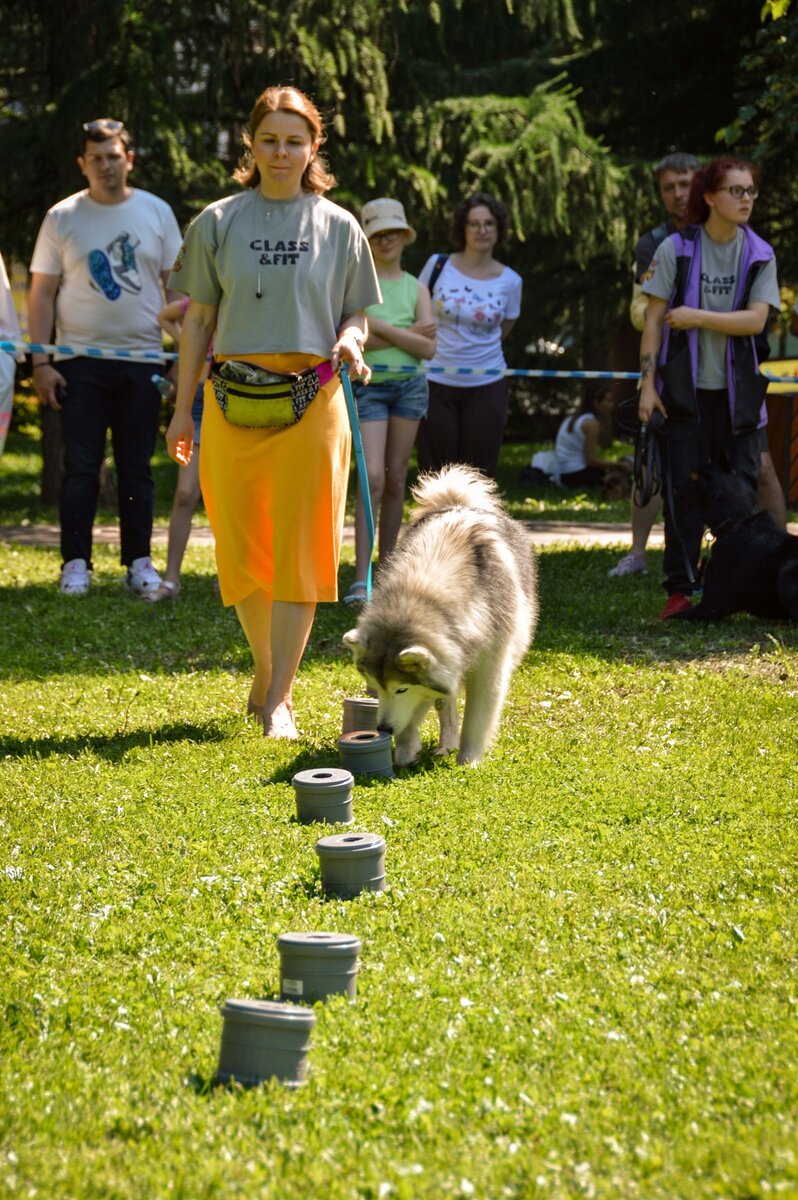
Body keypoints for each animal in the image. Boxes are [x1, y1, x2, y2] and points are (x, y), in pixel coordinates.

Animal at [343, 463, 535, 763]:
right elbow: (419, 709)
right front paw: (406, 749)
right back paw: (446, 741)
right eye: (375, 684)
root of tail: (457, 503)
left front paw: (469, 759)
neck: (421, 594)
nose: (383, 728)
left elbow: (476, 717)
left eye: (401, 688)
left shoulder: (489, 666)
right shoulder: (437, 671)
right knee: (445, 702)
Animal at [676, 463, 796, 624]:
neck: (737, 520)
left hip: (786, 572)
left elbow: (672, 616)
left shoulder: (710, 606)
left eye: (694, 478)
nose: (676, 485)